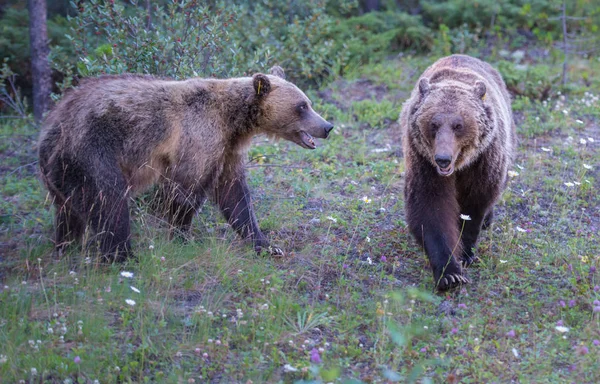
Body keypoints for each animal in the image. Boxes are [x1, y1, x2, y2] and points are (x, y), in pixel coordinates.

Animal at [38, 67, 332, 262]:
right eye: (301, 106)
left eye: (308, 102)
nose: (327, 126)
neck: (234, 122)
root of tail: (49, 128)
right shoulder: (198, 137)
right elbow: (186, 191)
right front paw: (181, 237)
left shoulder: (227, 151)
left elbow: (235, 196)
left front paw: (266, 244)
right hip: (92, 151)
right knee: (109, 200)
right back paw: (123, 256)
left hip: (63, 173)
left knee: (69, 213)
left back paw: (65, 247)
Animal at [398, 54, 516, 292]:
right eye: (433, 123)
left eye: (458, 125)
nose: (443, 158)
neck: (461, 165)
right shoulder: (423, 162)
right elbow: (430, 208)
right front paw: (450, 274)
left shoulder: (483, 160)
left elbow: (474, 204)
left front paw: (466, 253)